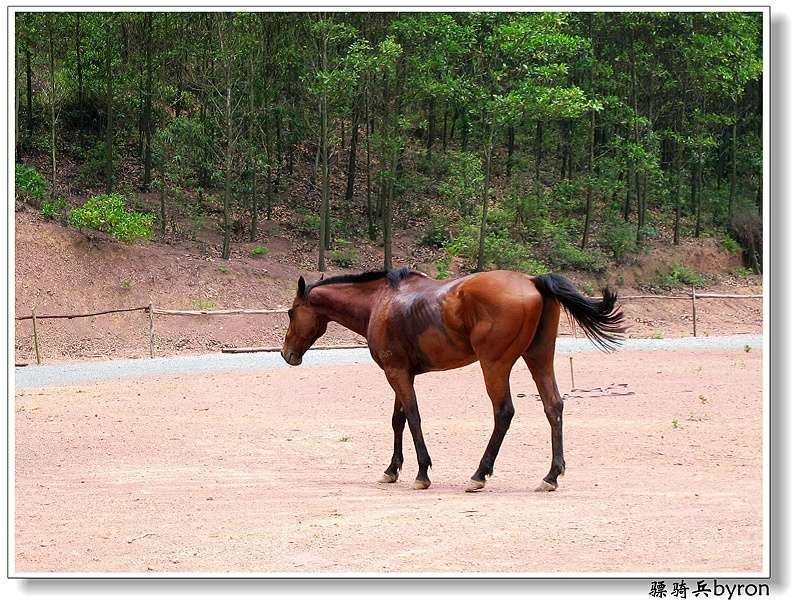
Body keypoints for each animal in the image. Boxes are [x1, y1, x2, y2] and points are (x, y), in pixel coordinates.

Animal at [282, 268, 624, 492]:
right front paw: (392, 470)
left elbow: (413, 418)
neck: (381, 301)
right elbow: (398, 420)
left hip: (495, 366)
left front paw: (422, 472)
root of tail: (532, 280)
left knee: (504, 412)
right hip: (538, 359)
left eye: (290, 312)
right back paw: (551, 476)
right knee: (553, 407)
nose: (287, 354)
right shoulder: (401, 374)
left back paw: (479, 474)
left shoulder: (397, 374)